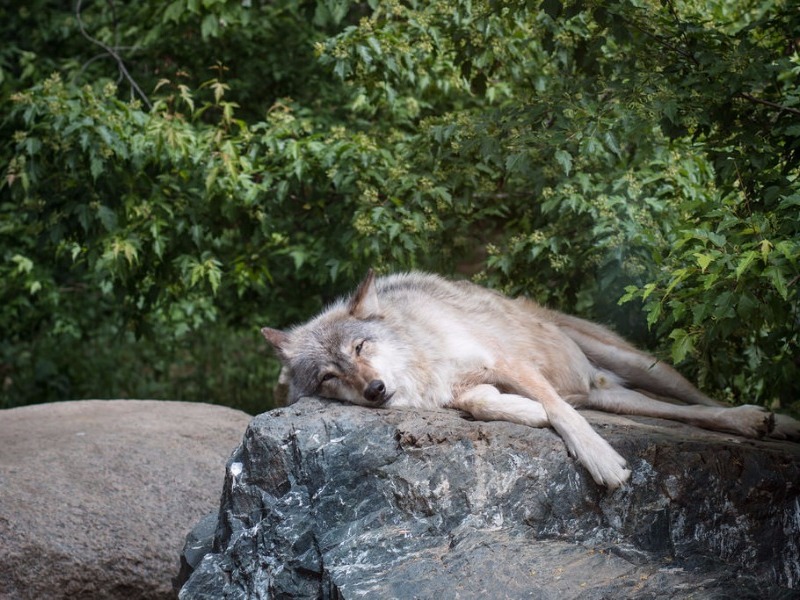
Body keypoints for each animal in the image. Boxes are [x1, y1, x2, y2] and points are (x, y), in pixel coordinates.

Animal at [260, 272, 792, 488]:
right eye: (329, 377)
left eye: (360, 348)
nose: (374, 391)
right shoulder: (465, 389)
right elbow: (485, 404)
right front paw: (527, 412)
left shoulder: (508, 361)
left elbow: (561, 413)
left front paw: (602, 462)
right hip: (614, 397)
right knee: (685, 412)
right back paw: (756, 424)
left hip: (644, 366)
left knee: (703, 399)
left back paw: (772, 421)